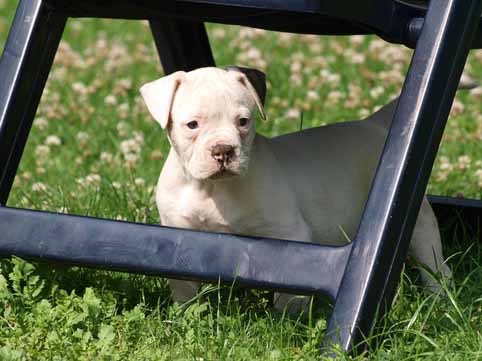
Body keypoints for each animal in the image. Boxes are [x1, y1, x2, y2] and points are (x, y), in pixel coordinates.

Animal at [140, 66, 452, 314]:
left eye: (243, 122)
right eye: (192, 124)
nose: (223, 150)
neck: (211, 188)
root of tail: (373, 125)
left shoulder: (290, 235)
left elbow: (289, 282)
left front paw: (286, 322)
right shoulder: (177, 234)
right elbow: (182, 284)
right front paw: (186, 313)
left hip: (416, 221)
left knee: (432, 259)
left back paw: (439, 296)